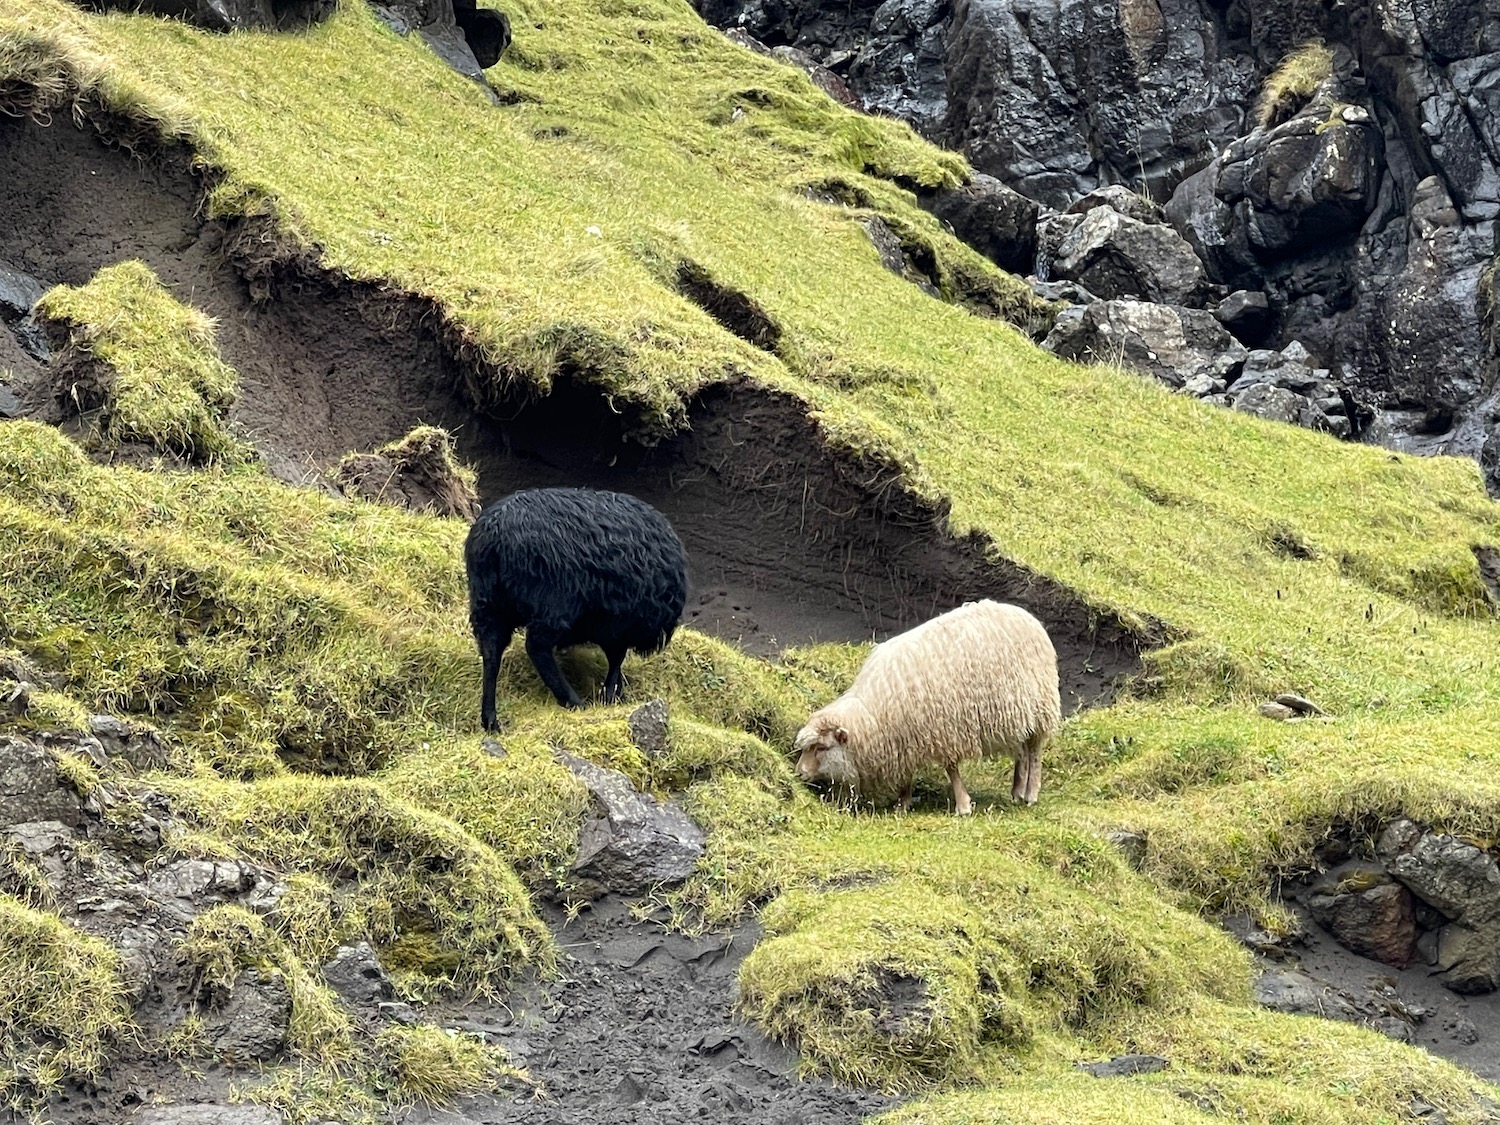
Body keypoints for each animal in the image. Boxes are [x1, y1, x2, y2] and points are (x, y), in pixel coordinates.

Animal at [465, 489, 687, 726]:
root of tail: (494, 535)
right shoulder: (620, 622)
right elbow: (616, 658)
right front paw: (611, 695)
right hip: (553, 603)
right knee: (536, 647)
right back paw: (572, 701)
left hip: (488, 603)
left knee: (491, 651)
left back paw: (490, 719)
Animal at [792, 600, 1062, 822]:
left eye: (821, 747)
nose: (799, 774)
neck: (874, 713)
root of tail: (1023, 614)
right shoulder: (905, 737)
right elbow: (907, 771)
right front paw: (902, 803)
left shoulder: (944, 729)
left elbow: (951, 768)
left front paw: (963, 805)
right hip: (1018, 714)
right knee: (1021, 752)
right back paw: (1017, 791)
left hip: (1040, 706)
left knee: (1034, 751)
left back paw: (1031, 793)